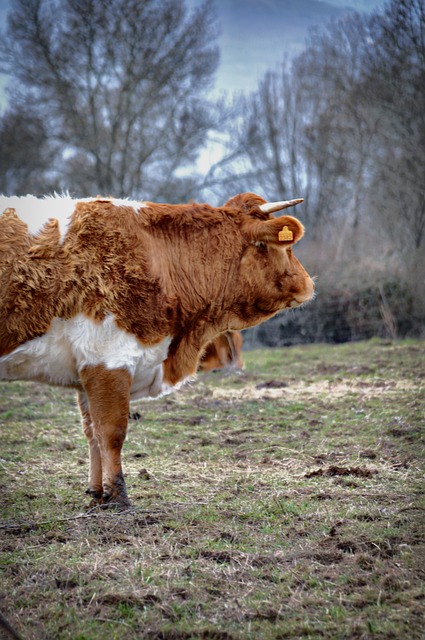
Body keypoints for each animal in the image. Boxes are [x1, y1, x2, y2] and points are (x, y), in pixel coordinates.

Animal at [0, 192, 312, 508]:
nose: (309, 283)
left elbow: (92, 432)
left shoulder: (87, 367)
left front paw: (97, 494)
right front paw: (118, 496)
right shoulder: (108, 358)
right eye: (283, 247)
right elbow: (111, 432)